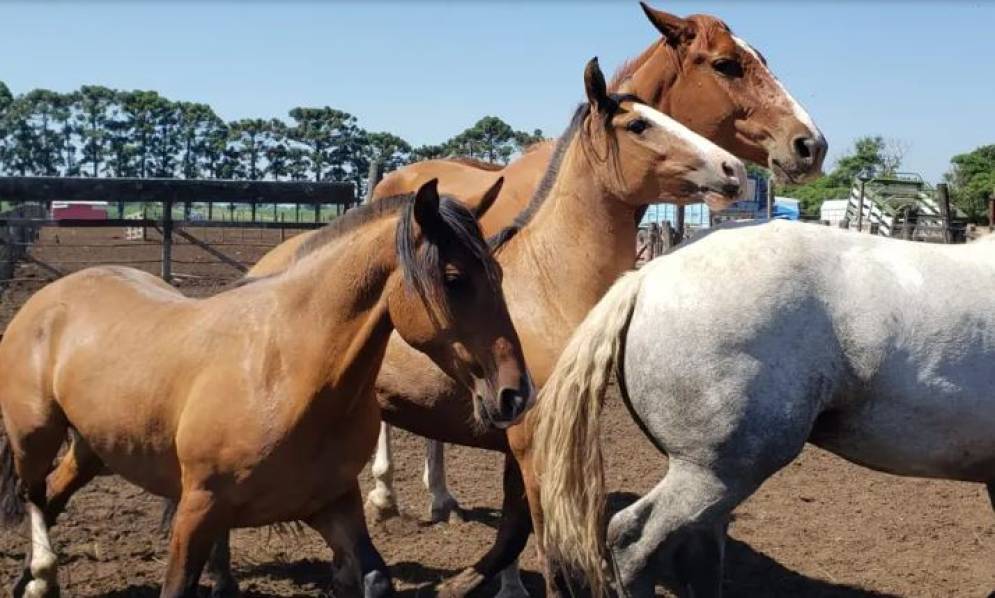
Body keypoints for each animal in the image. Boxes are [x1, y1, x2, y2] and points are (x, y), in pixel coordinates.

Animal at [0, 182, 532, 598]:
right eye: (454, 278)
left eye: (500, 274)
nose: (516, 393)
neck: (286, 374)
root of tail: (49, 298)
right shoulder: (197, 508)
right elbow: (177, 585)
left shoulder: (332, 503)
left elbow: (376, 577)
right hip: (36, 434)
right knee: (32, 494)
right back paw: (41, 576)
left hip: (93, 448)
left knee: (53, 493)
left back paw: (26, 579)